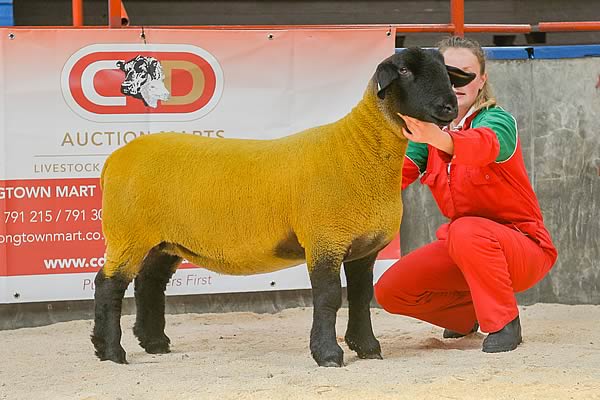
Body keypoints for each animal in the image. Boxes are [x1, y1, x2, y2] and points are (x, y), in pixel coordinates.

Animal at [91, 47, 474, 366]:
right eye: (405, 71)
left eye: (445, 70)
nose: (449, 108)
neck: (358, 149)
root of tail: (115, 159)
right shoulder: (324, 239)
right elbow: (329, 297)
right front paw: (328, 355)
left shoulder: (364, 247)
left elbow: (362, 296)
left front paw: (366, 348)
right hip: (127, 234)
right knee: (109, 284)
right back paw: (111, 351)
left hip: (164, 240)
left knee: (149, 283)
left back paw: (154, 343)